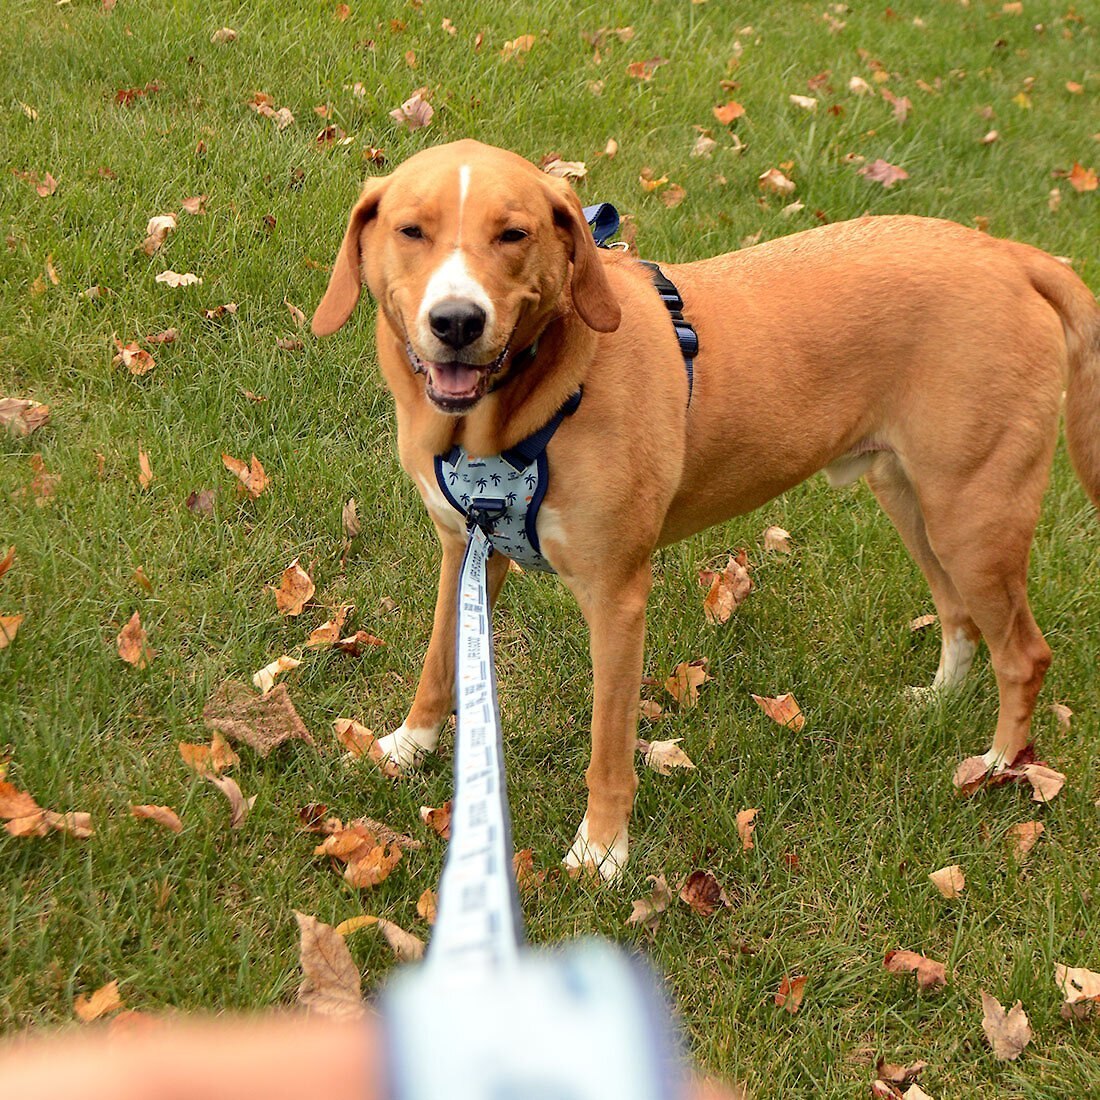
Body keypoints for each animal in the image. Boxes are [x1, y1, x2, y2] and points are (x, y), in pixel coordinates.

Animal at [312, 139, 1100, 875]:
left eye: (514, 234)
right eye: (411, 230)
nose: (456, 321)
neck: (517, 412)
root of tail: (1009, 254)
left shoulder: (618, 595)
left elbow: (609, 745)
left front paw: (603, 850)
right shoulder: (466, 549)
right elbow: (440, 661)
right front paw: (407, 747)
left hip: (975, 518)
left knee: (1024, 653)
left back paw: (997, 767)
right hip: (914, 501)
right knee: (960, 617)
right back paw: (938, 703)